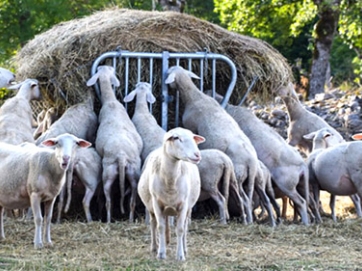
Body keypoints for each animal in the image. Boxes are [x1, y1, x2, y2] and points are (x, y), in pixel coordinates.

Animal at [87, 66, 143, 223]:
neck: (111, 102)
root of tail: (121, 155)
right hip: (129, 172)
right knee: (127, 201)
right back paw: (124, 221)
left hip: (115, 173)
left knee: (111, 201)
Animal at [137, 127, 205, 262]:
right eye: (176, 138)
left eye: (193, 137)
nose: (197, 155)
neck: (170, 181)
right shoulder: (157, 204)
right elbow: (160, 227)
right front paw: (161, 253)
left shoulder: (183, 205)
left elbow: (180, 229)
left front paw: (180, 255)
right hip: (151, 207)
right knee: (153, 224)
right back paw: (155, 247)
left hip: (187, 208)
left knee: (184, 227)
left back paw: (184, 248)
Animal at [165, 66, 258, 225]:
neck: (195, 97)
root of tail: (251, 162)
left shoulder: (191, 126)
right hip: (246, 179)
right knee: (247, 199)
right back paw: (248, 221)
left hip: (237, 175)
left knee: (241, 198)